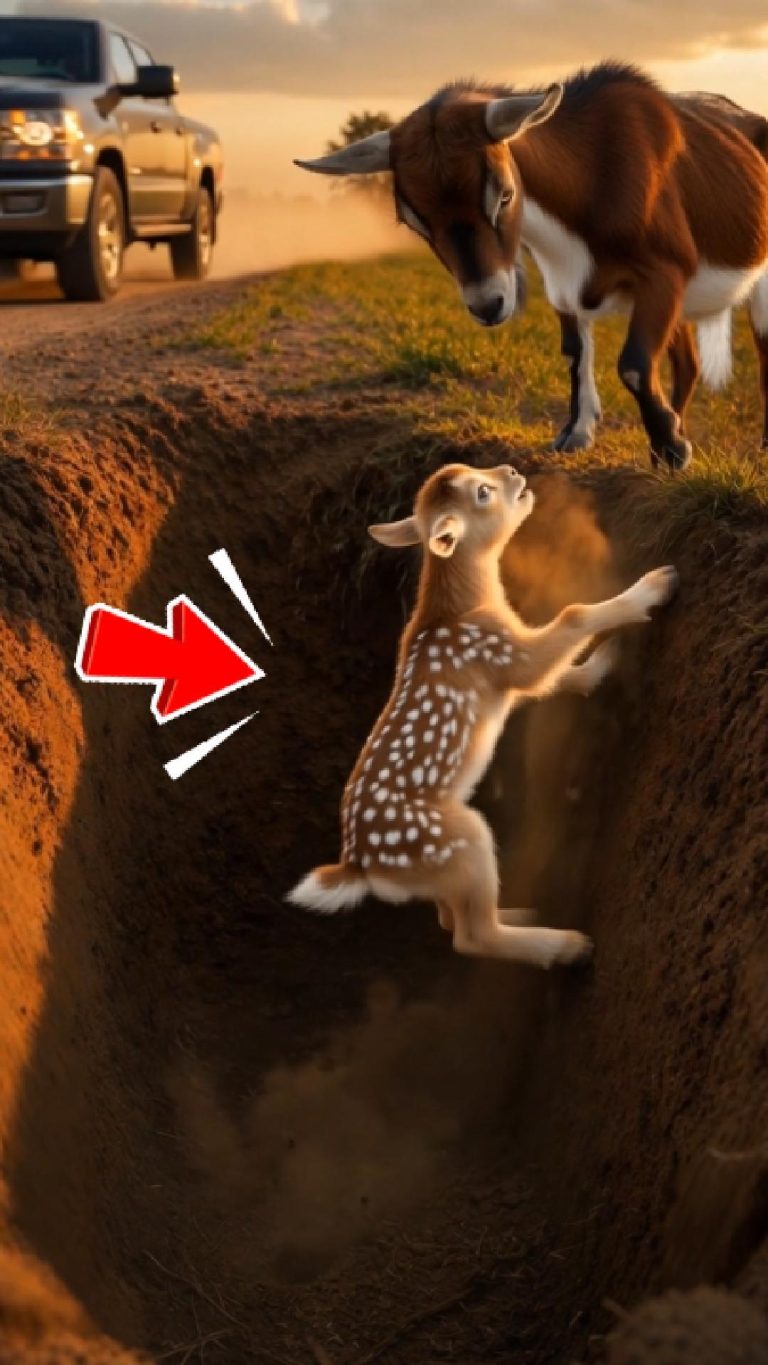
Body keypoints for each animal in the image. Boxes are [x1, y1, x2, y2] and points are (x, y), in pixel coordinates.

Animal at [288, 463, 678, 968]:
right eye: (483, 493)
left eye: (472, 472)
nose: (511, 471)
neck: (468, 606)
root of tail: (359, 867)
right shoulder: (501, 652)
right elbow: (570, 616)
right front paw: (656, 586)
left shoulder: (509, 671)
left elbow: (554, 678)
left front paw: (603, 662)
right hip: (461, 840)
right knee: (471, 937)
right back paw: (567, 945)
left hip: (444, 870)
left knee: (450, 919)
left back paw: (523, 912)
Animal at [295, 64, 768, 468]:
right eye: (414, 222)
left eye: (504, 195)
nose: (488, 305)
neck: (592, 175)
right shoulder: (562, 284)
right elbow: (575, 352)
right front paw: (579, 433)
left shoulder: (665, 271)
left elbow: (633, 363)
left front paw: (670, 449)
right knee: (687, 362)